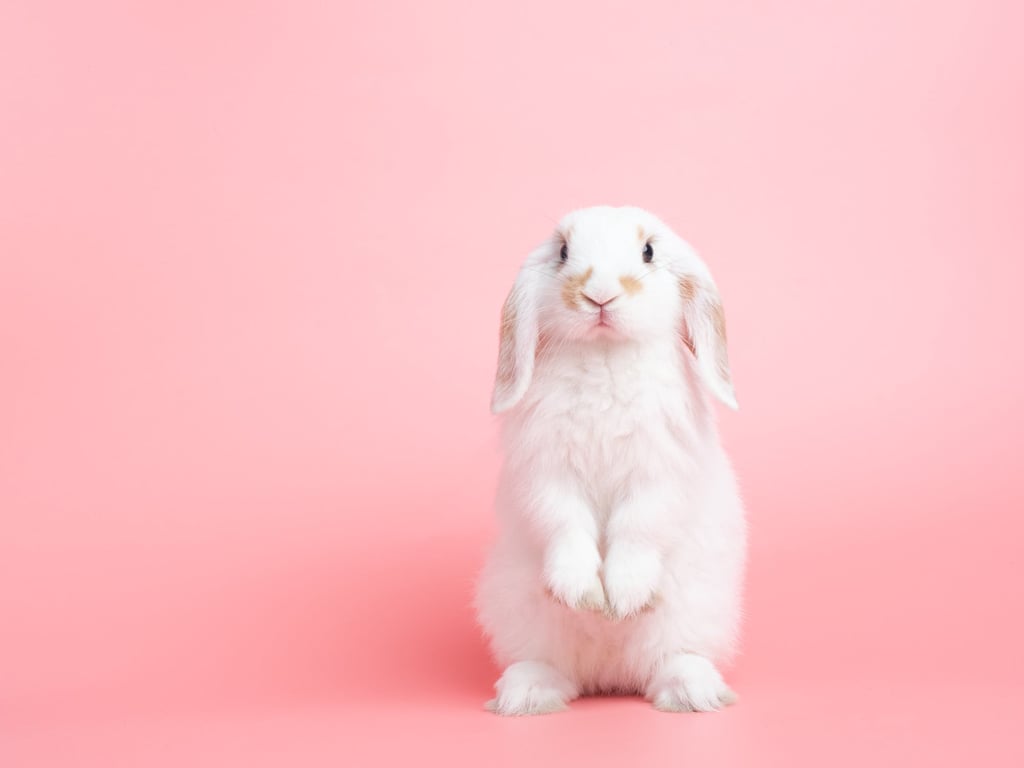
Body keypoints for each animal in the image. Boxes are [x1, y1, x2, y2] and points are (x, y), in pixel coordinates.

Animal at [474, 205, 746, 715]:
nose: (598, 295)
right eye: (563, 252)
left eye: (648, 251)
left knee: (671, 659)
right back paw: (527, 695)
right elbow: (565, 524)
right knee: (552, 665)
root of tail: (609, 674)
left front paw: (622, 599)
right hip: (516, 607)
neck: (605, 354)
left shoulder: (657, 476)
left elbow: (637, 527)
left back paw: (693, 692)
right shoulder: (547, 475)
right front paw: (583, 595)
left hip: (697, 607)